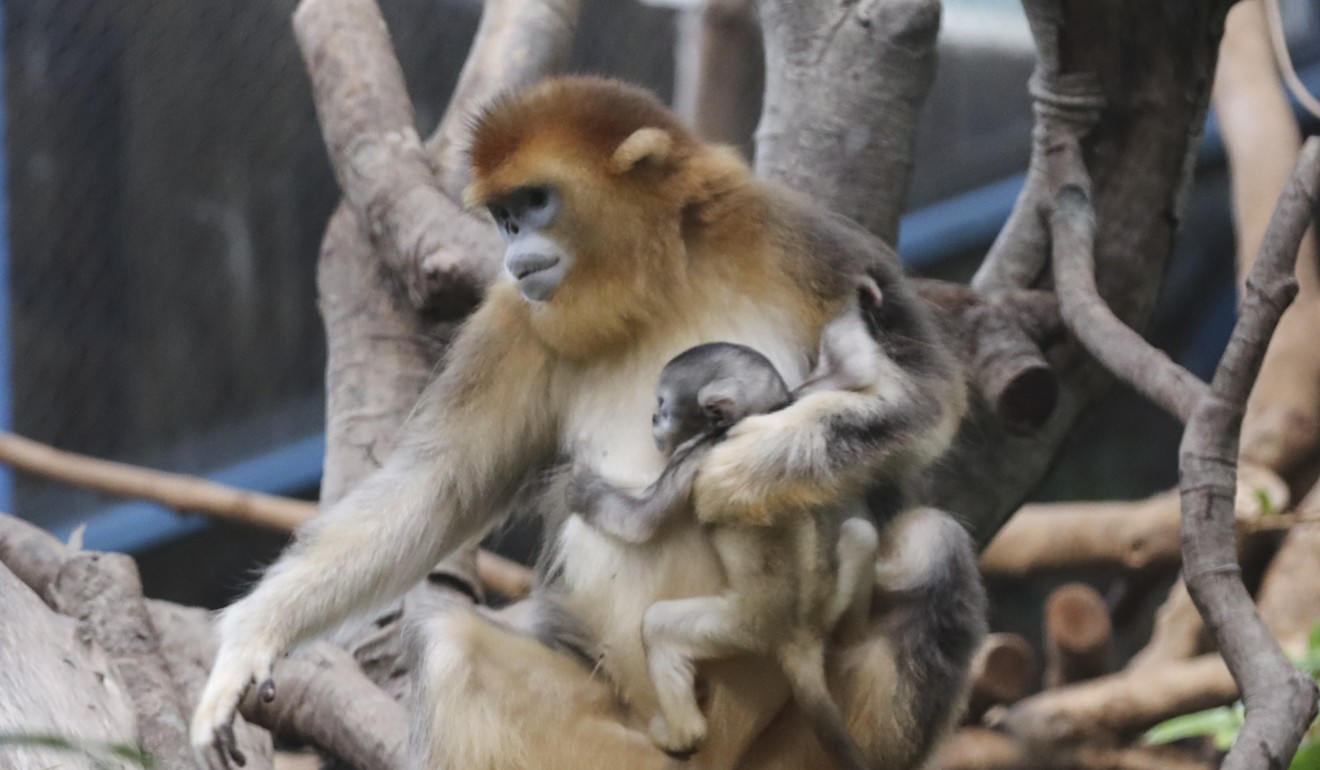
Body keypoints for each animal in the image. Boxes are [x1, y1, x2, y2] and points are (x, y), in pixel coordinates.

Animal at [567, 282, 887, 770]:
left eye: (663, 406)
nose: (653, 420)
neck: (751, 419)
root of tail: (799, 639)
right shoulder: (788, 404)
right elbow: (851, 371)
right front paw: (860, 299)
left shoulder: (695, 456)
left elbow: (640, 523)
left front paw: (581, 488)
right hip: (826, 601)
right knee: (860, 534)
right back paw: (851, 638)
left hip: (739, 627)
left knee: (658, 627)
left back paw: (682, 733)